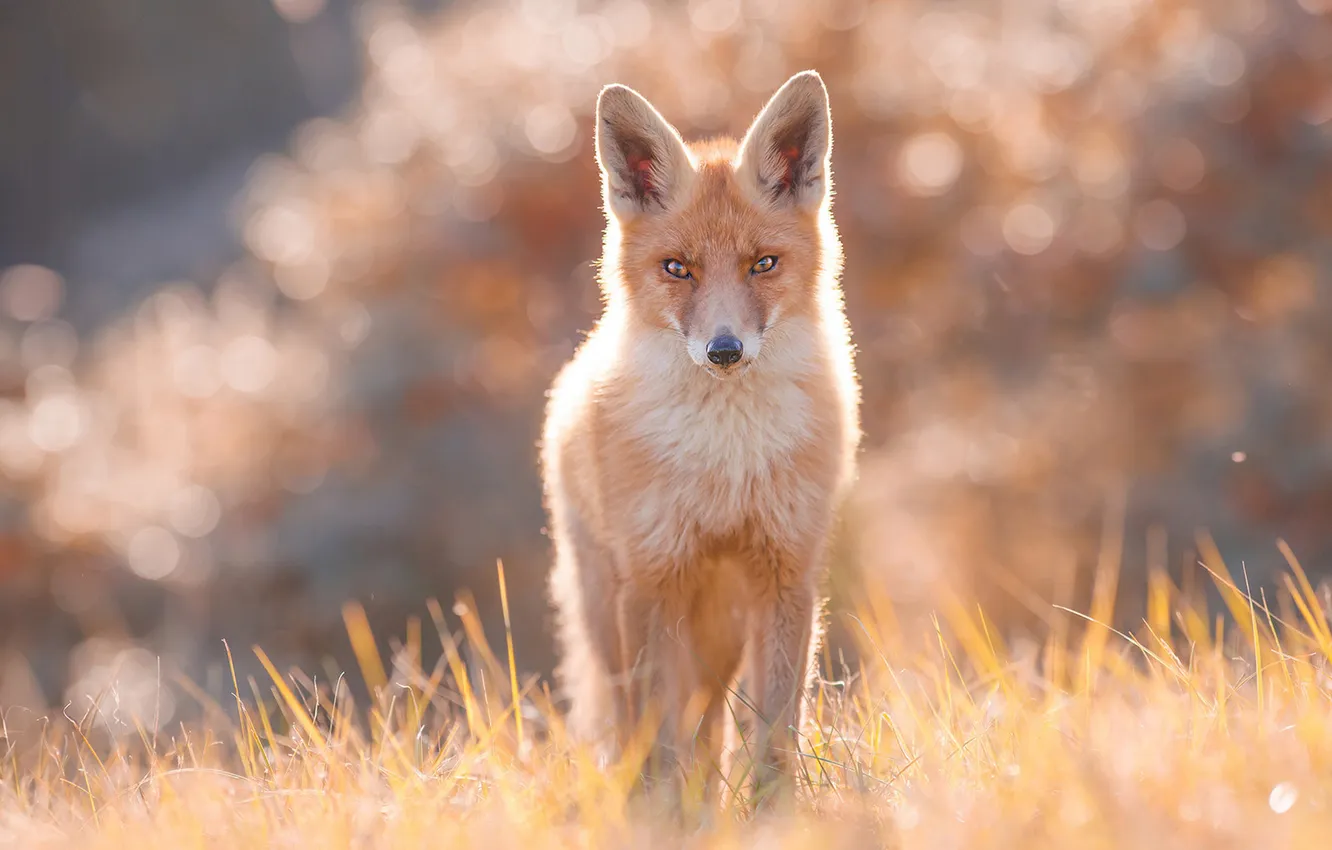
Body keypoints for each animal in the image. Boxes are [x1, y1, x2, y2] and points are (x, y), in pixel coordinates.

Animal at [542, 70, 860, 803]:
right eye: (677, 268)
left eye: (762, 264)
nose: (724, 350)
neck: (725, 466)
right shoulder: (652, 579)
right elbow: (657, 742)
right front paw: (660, 814)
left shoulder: (786, 573)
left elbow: (775, 733)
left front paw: (774, 815)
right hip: (612, 610)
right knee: (642, 725)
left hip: (721, 631)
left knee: (710, 728)